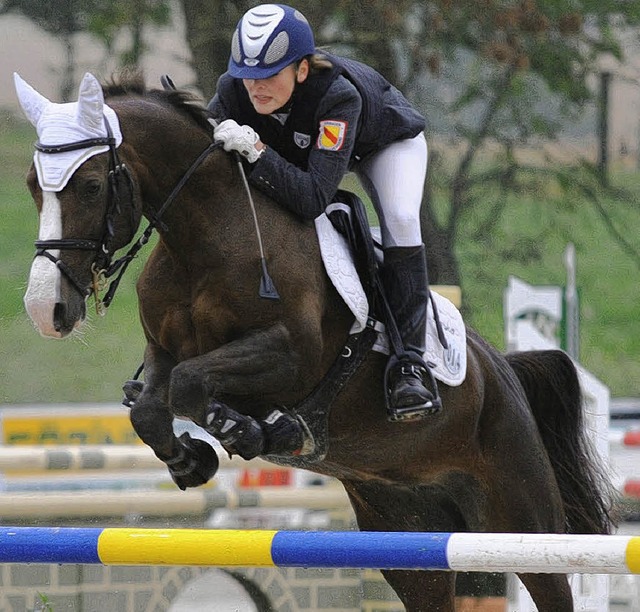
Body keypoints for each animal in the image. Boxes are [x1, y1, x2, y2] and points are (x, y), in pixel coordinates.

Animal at [16, 73, 616, 612]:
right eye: (31, 185)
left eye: (92, 185)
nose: (47, 310)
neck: (205, 241)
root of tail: (505, 369)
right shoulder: (163, 357)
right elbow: (151, 407)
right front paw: (193, 462)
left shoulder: (290, 355)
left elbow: (193, 385)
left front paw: (245, 430)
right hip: (407, 530)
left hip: (520, 518)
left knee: (552, 582)